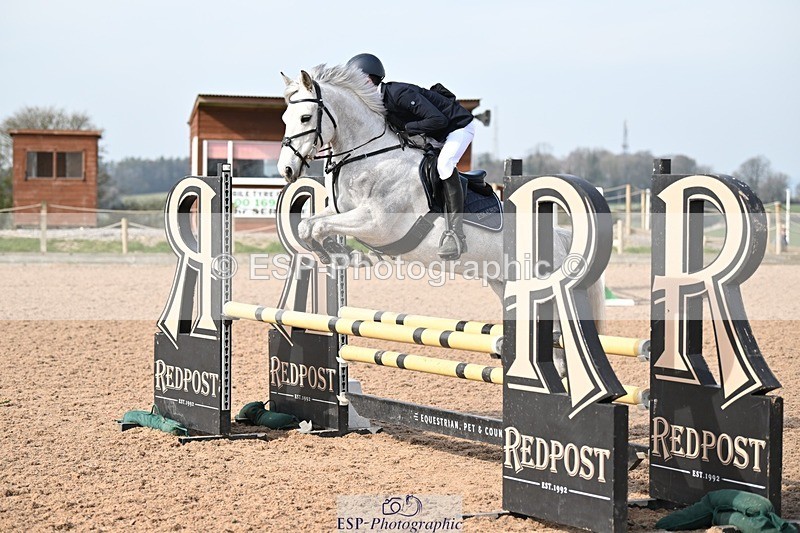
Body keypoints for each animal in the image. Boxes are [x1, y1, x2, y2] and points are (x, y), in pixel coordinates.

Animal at [276, 64, 606, 375]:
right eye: (285, 118)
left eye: (305, 117)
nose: (287, 170)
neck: (371, 155)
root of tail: (559, 236)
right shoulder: (343, 210)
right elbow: (308, 226)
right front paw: (339, 255)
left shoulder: (377, 223)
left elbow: (319, 226)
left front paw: (345, 255)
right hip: (503, 282)